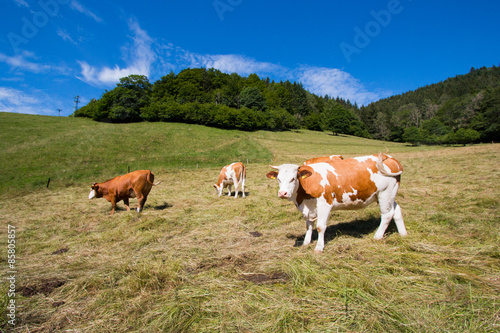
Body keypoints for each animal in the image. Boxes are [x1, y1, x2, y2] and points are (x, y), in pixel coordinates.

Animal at [266, 154, 406, 252]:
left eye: (293, 178)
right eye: (279, 179)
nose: (283, 193)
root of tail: (389, 158)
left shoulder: (324, 204)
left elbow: (320, 226)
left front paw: (319, 248)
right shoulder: (309, 208)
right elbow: (309, 226)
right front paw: (306, 243)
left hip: (385, 193)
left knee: (387, 215)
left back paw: (377, 236)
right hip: (388, 195)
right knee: (396, 210)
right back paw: (403, 234)